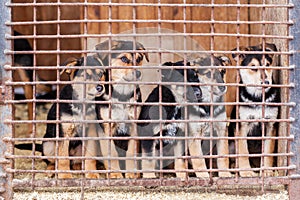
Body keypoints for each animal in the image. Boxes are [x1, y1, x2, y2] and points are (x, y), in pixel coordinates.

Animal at [95, 39, 149, 179]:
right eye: (124, 58)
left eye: (139, 58)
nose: (138, 73)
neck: (122, 95)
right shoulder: (106, 128)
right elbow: (112, 153)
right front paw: (115, 174)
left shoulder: (133, 126)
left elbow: (131, 153)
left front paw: (131, 173)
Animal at [229, 43, 280, 177]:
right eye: (253, 68)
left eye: (267, 65)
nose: (266, 82)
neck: (257, 98)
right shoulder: (242, 125)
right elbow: (243, 151)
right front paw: (246, 172)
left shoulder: (270, 125)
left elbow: (268, 151)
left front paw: (266, 170)